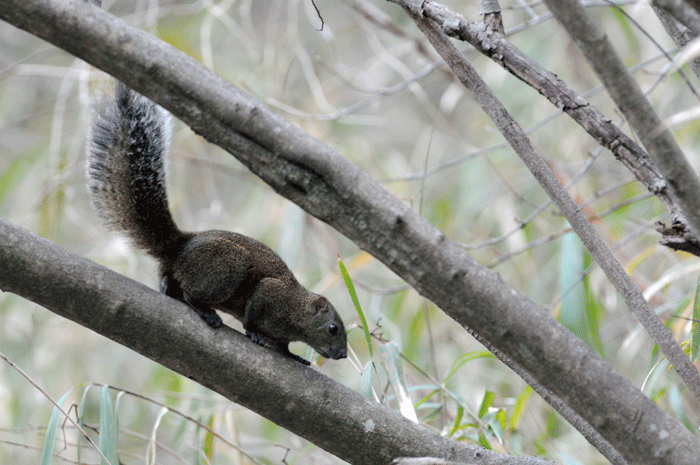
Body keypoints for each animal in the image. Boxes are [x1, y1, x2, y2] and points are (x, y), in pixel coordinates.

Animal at [86, 81, 348, 366]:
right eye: (333, 328)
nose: (343, 354)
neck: (295, 308)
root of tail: (179, 246)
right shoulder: (269, 294)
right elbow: (253, 317)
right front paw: (254, 334)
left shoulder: (281, 333)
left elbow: (282, 347)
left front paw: (295, 357)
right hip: (229, 267)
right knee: (190, 294)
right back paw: (206, 312)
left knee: (170, 284)